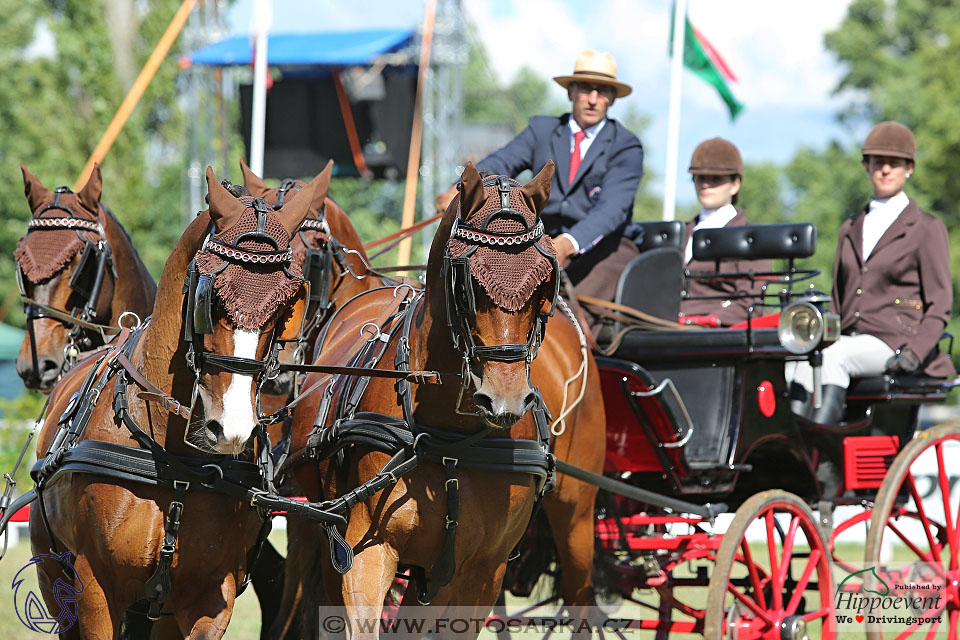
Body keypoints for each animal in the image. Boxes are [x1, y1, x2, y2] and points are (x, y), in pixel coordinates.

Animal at [28, 168, 332, 636]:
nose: (232, 428)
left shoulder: (210, 597)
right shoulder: (95, 591)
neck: (176, 468)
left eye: (286, 306)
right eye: (210, 298)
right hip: (54, 579)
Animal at [274, 162, 604, 636]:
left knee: (579, 593)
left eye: (546, 279)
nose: (504, 401)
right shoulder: (366, 549)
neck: (452, 437)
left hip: (576, 516)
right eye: (466, 282)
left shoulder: (481, 573)